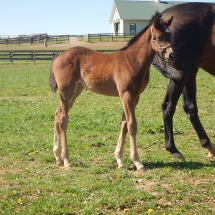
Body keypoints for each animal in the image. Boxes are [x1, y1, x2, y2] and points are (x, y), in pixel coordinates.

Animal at [49, 14, 174, 171]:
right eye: (158, 36)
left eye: (170, 35)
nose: (171, 55)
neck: (132, 61)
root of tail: (57, 58)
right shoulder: (126, 94)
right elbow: (132, 125)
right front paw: (137, 162)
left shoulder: (135, 96)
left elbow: (124, 124)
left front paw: (120, 160)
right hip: (66, 92)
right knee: (63, 119)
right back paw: (66, 160)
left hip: (75, 91)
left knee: (57, 114)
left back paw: (58, 157)